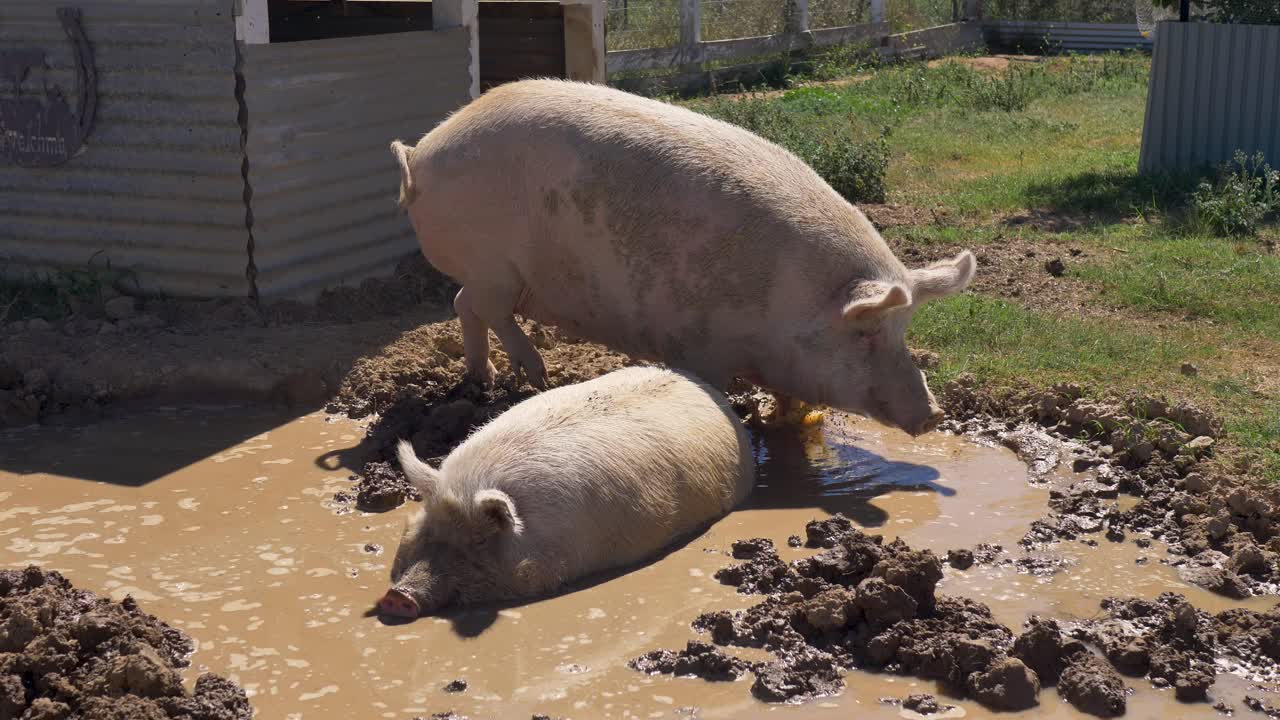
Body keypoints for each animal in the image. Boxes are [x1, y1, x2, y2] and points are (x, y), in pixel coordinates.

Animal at [389, 78, 976, 437]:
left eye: (903, 330)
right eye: (866, 332)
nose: (932, 414)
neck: (786, 296)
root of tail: (421, 154)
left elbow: (789, 399)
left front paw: (784, 424)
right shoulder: (697, 342)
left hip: (485, 271)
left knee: (464, 305)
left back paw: (484, 380)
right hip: (492, 263)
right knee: (488, 307)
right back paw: (536, 376)